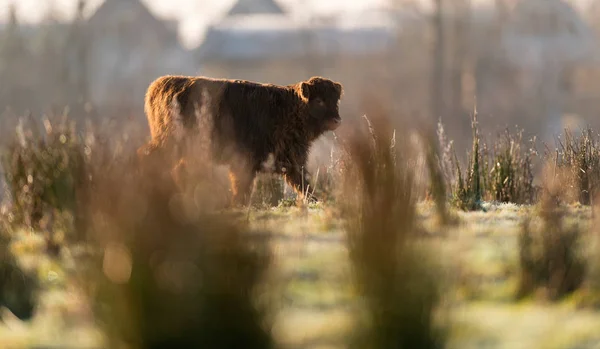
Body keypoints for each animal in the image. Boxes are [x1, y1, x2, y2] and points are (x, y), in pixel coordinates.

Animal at [137, 75, 342, 207]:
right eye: (319, 101)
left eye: (335, 101)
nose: (336, 120)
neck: (288, 110)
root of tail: (161, 84)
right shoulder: (245, 160)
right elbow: (242, 186)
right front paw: (239, 205)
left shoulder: (292, 158)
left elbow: (302, 182)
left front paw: (316, 202)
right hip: (169, 143)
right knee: (149, 158)